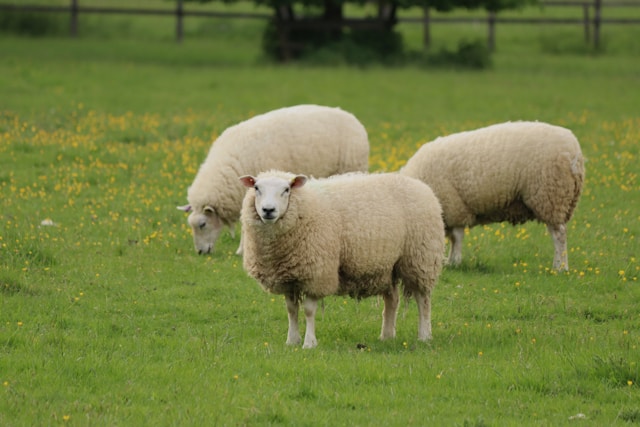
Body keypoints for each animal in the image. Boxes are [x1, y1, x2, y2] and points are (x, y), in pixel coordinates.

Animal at [239, 170, 445, 349]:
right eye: (256, 188)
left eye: (286, 190)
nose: (268, 210)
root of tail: (421, 185)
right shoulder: (289, 277)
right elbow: (291, 310)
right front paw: (292, 341)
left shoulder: (317, 274)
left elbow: (309, 311)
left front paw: (309, 343)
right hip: (388, 265)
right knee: (392, 299)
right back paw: (386, 335)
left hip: (420, 259)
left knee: (423, 300)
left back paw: (424, 335)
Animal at [400, 121, 585, 271]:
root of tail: (575, 152)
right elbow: (453, 238)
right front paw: (450, 261)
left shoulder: (454, 207)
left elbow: (457, 237)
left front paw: (455, 262)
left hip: (551, 196)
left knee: (559, 235)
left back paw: (560, 267)